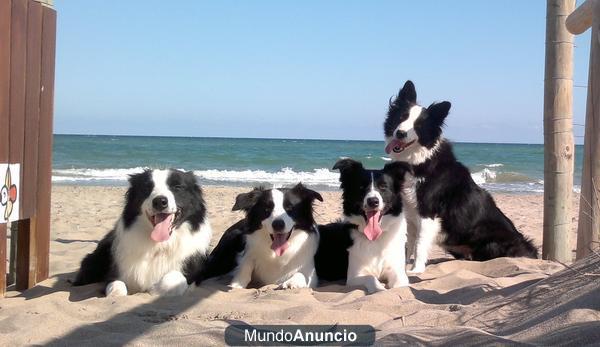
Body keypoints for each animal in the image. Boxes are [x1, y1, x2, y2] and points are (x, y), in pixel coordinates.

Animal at [314, 160, 412, 294]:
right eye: (361, 187)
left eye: (383, 187)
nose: (373, 201)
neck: (375, 238)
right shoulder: (354, 276)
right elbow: (371, 278)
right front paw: (379, 288)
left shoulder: (398, 271)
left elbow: (399, 284)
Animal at [384, 81, 540, 274]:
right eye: (401, 117)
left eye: (419, 126)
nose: (400, 133)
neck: (417, 160)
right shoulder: (410, 213)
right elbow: (408, 243)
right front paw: (403, 269)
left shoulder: (428, 213)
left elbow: (419, 244)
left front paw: (416, 270)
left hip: (491, 243)